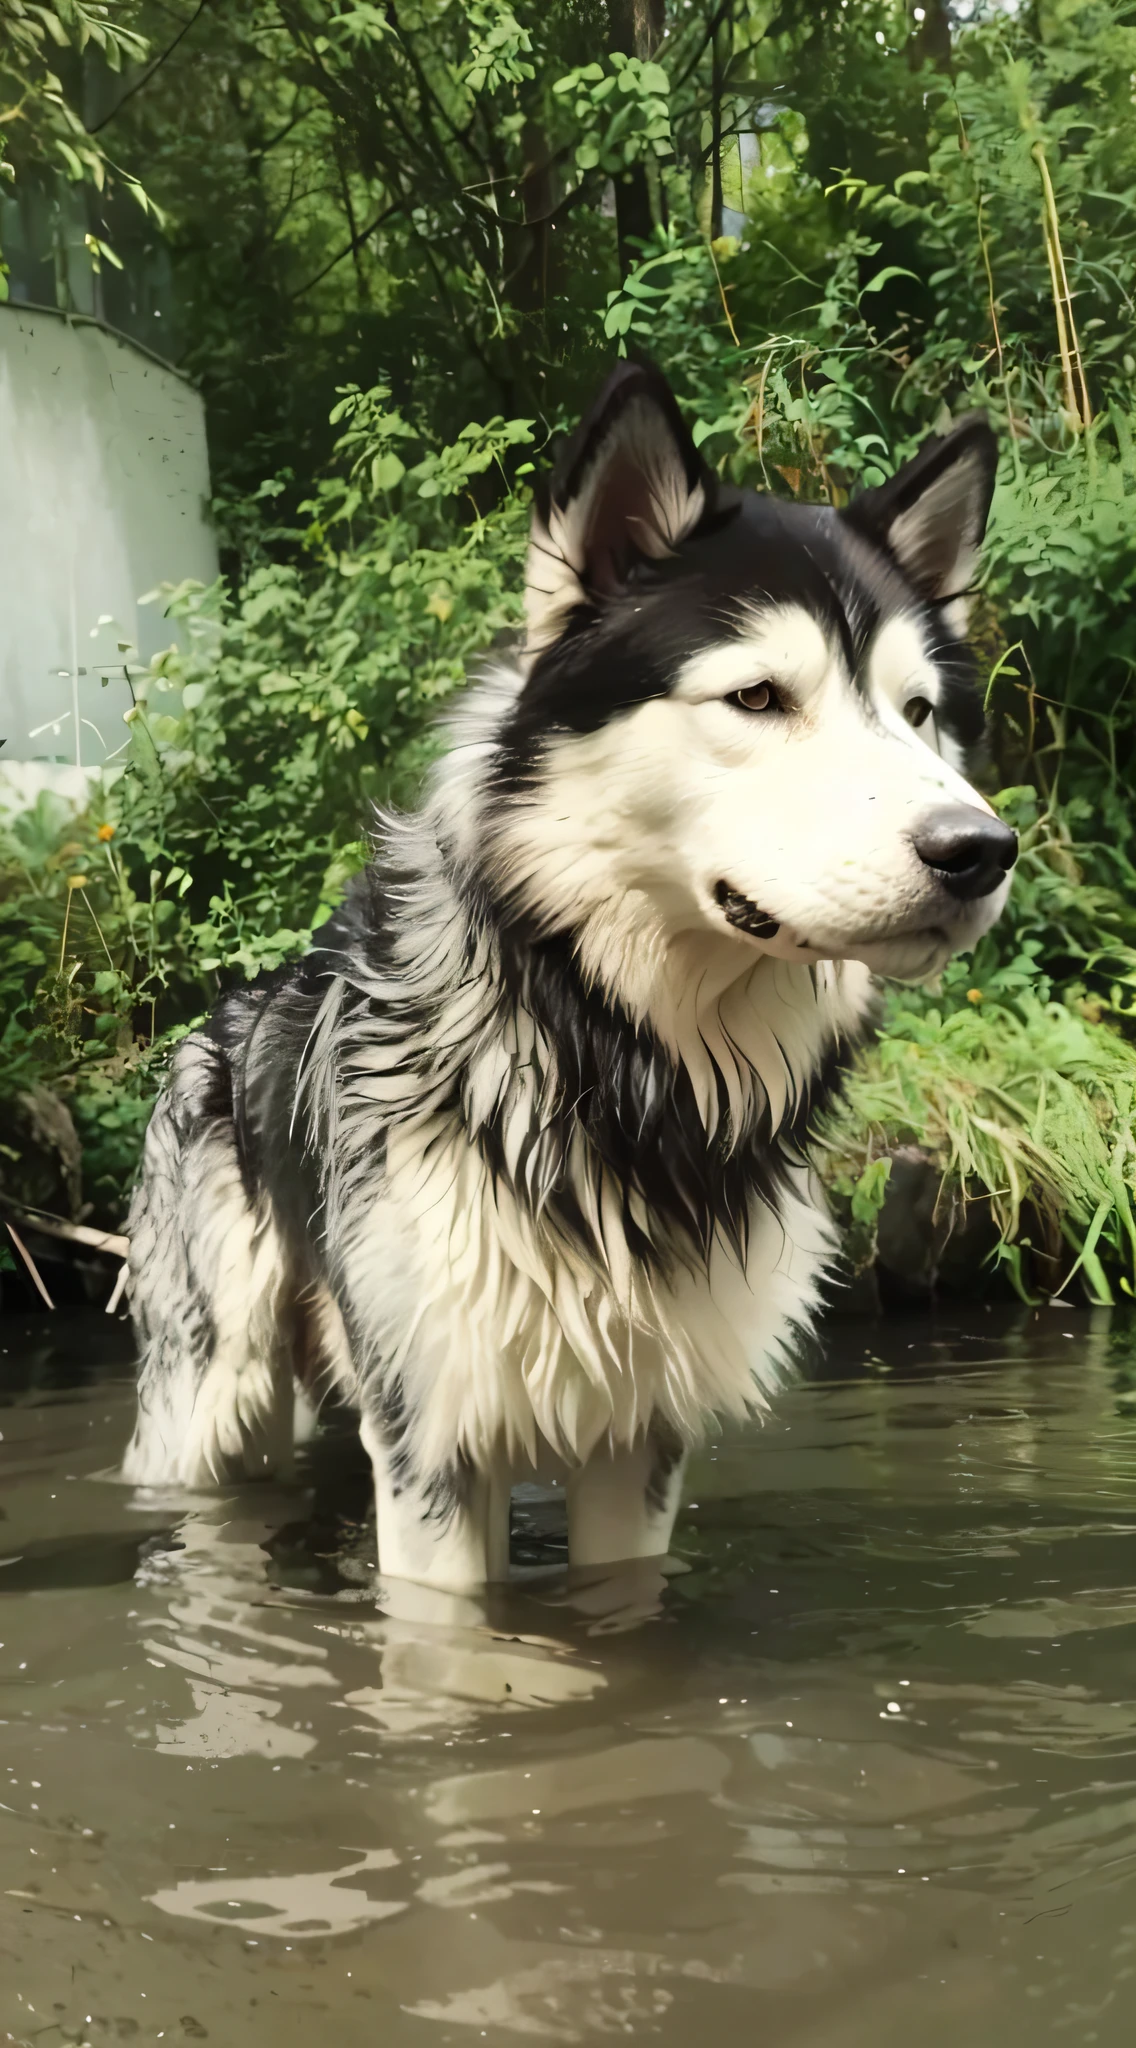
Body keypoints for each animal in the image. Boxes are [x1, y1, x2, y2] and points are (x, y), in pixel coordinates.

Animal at [122, 364, 1015, 1581]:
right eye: (756, 698)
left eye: (918, 712)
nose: (979, 850)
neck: (613, 1058)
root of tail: (224, 1010)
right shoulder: (433, 1443)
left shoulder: (638, 1441)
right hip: (212, 1405)